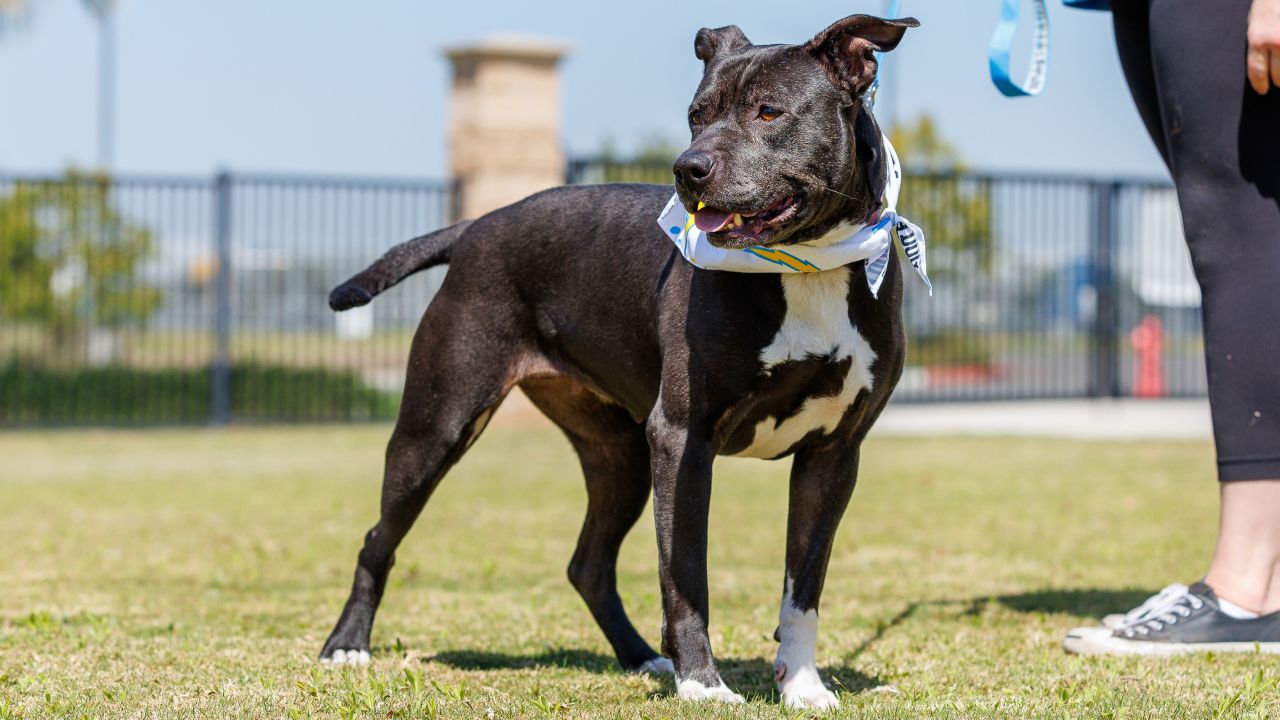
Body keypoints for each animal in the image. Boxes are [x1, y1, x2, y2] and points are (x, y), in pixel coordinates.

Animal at [320, 12, 921, 707]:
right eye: (696, 114)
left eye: (769, 111)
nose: (688, 168)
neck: (809, 266)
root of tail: (478, 225)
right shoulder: (683, 438)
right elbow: (685, 574)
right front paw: (703, 685)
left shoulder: (834, 454)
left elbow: (804, 587)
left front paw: (800, 685)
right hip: (437, 425)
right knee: (378, 538)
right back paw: (347, 645)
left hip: (620, 455)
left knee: (588, 564)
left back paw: (639, 656)